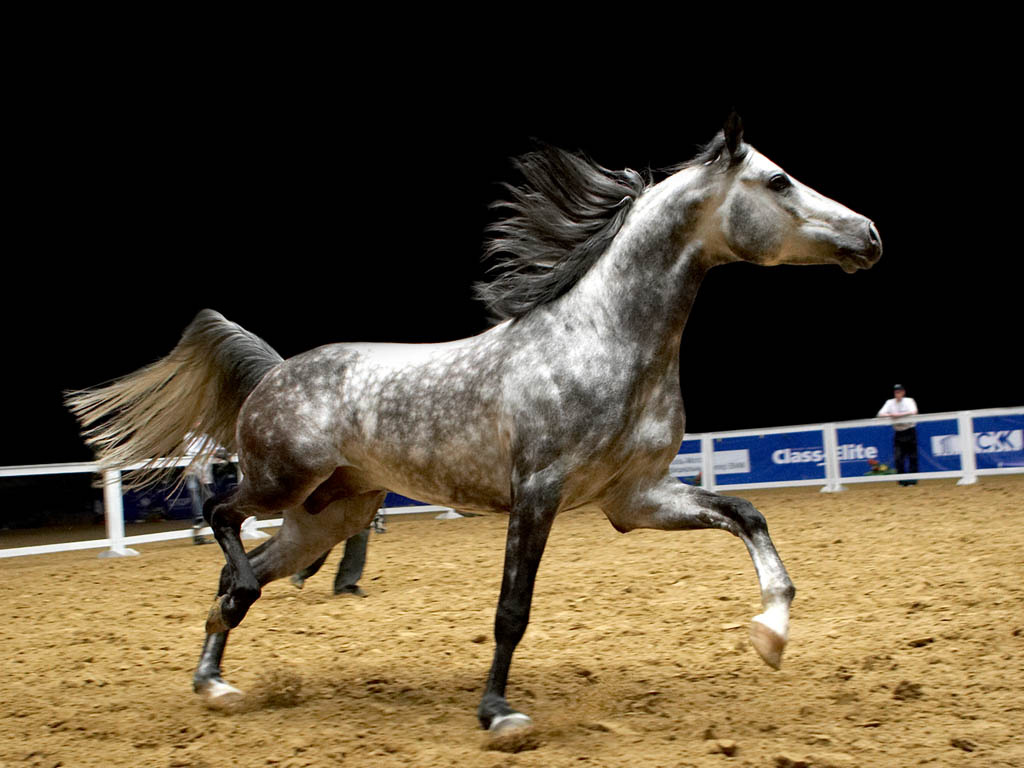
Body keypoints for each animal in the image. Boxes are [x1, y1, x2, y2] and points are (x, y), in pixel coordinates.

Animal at [66, 114, 881, 735]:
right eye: (778, 181)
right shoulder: (538, 492)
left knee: (243, 577)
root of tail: (275, 370)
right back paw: (222, 641)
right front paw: (498, 714)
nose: (870, 234)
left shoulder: (635, 498)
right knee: (221, 520)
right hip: (280, 482)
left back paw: (216, 684)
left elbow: (746, 514)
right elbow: (512, 609)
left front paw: (771, 635)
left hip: (330, 513)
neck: (604, 341)